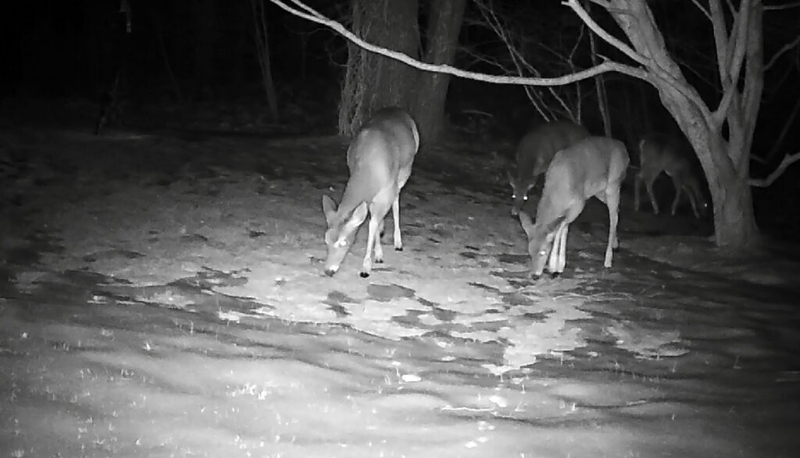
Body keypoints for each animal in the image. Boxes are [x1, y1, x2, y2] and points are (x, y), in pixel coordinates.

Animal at [321, 107, 420, 278]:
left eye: (344, 242)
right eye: (326, 240)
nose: (329, 270)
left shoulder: (386, 190)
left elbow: (372, 224)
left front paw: (366, 267)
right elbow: (375, 221)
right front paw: (378, 254)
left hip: (405, 170)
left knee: (396, 199)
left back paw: (398, 242)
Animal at [517, 136, 629, 278]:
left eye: (543, 252)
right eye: (529, 251)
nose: (534, 275)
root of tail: (625, 150)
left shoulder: (579, 203)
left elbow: (561, 227)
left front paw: (555, 266)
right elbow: (563, 228)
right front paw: (558, 266)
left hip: (613, 185)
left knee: (613, 215)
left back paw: (608, 260)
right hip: (600, 192)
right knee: (616, 211)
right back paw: (616, 244)